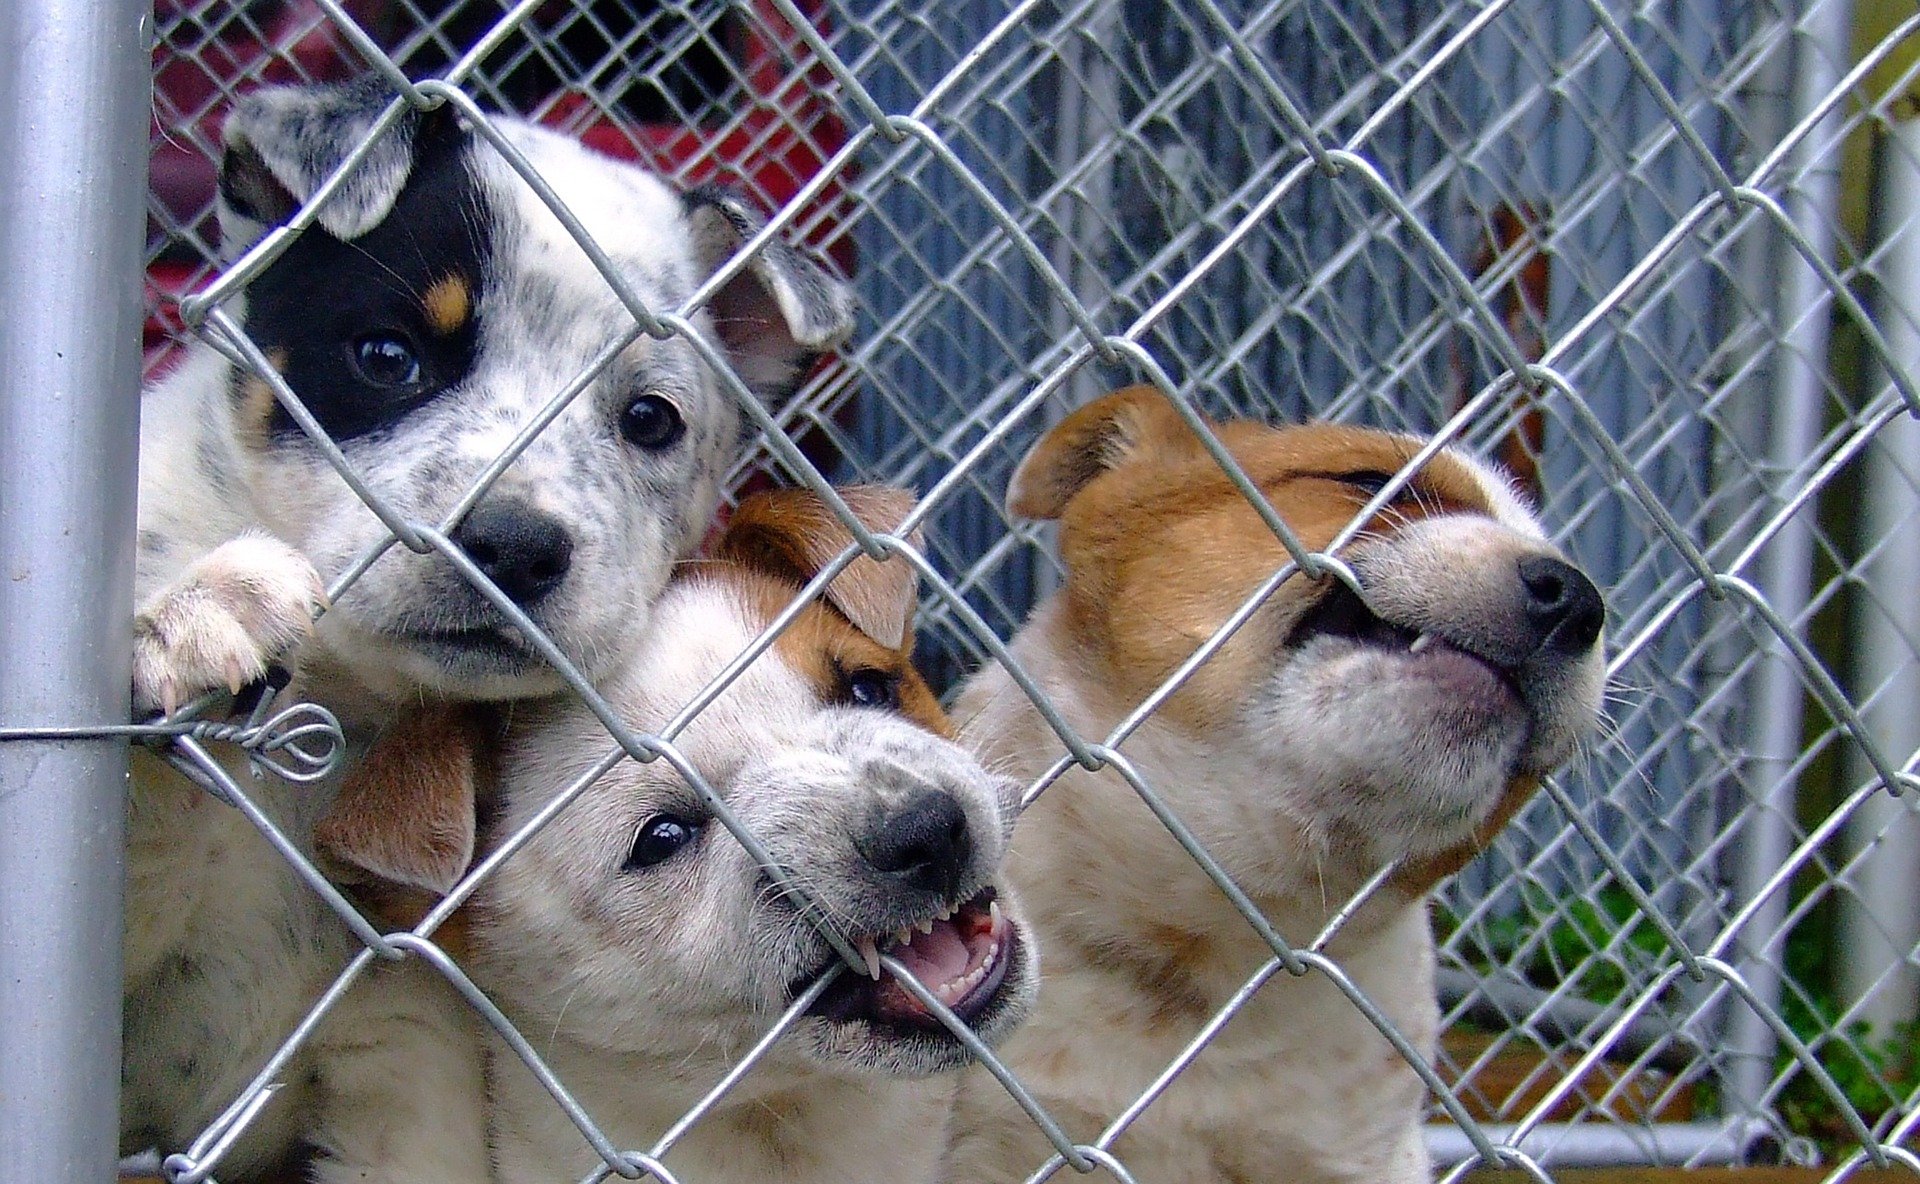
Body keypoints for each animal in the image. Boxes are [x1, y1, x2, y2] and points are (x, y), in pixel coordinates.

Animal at [120, 78, 840, 1174]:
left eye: (650, 419)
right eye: (386, 356)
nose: (511, 546)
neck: (352, 711)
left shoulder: (405, 1035)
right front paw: (191, 612)